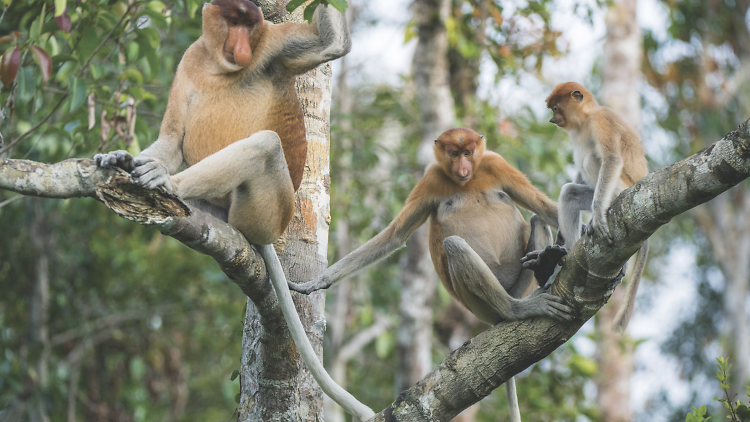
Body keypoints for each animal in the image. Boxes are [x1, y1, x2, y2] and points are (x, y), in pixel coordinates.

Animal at [94, 1, 376, 420]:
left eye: (249, 24)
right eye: (233, 21)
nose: (242, 47)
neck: (218, 65)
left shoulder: (272, 47)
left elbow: (330, 45)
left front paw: (151, 170)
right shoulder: (189, 61)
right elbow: (171, 138)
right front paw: (121, 155)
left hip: (266, 211)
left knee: (265, 144)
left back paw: (165, 183)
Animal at [290, 128, 572, 422]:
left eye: (468, 153)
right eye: (454, 153)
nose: (463, 169)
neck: (467, 183)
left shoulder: (496, 163)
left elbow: (545, 207)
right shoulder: (431, 179)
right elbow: (395, 236)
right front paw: (317, 282)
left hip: (519, 286)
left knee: (538, 218)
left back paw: (544, 265)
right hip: (479, 305)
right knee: (455, 244)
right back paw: (517, 308)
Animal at [544, 81, 648, 332]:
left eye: (556, 108)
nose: (552, 119)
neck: (586, 118)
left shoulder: (602, 120)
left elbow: (611, 159)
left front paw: (599, 214)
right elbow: (577, 178)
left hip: (623, 187)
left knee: (592, 159)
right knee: (569, 194)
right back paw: (566, 258)